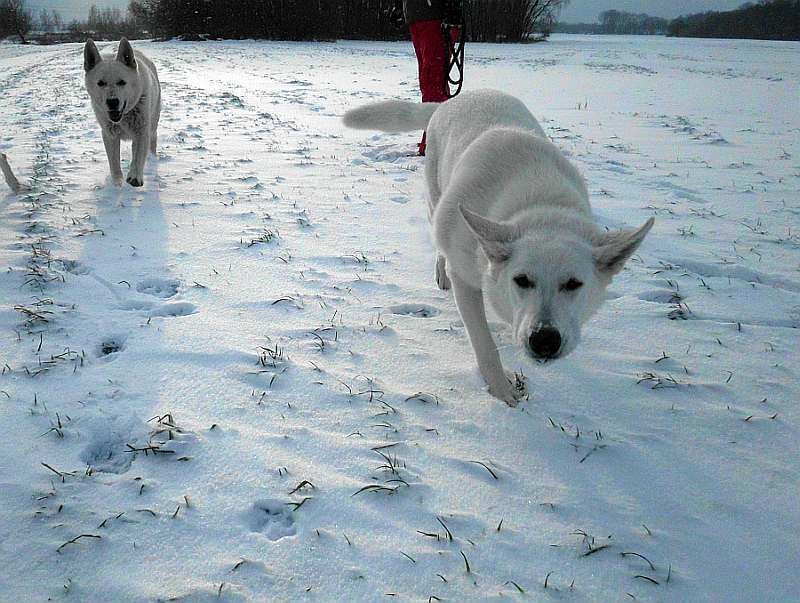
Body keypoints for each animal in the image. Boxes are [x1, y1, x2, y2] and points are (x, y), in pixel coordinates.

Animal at [83, 39, 161, 188]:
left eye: (122, 82)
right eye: (100, 83)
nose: (112, 102)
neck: (123, 118)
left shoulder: (142, 132)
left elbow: (138, 157)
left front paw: (135, 177)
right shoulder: (109, 135)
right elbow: (114, 161)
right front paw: (117, 182)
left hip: (153, 123)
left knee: (152, 141)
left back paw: (152, 158)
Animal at [342, 89, 648, 406]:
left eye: (574, 284)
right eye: (522, 280)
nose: (545, 340)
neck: (539, 202)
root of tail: (452, 100)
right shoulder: (465, 278)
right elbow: (484, 343)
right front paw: (502, 389)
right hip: (436, 197)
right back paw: (441, 271)